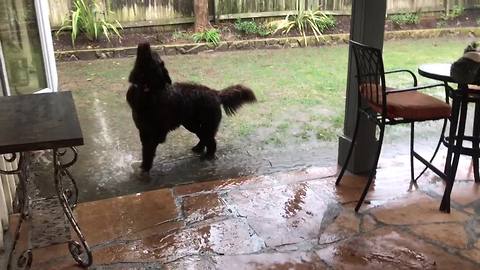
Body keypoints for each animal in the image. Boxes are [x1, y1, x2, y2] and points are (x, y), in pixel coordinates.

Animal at [125, 43, 256, 172]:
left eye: (153, 57)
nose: (145, 43)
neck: (147, 89)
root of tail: (216, 93)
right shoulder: (144, 132)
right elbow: (145, 152)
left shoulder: (152, 133)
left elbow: (148, 153)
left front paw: (145, 169)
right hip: (192, 124)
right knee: (205, 139)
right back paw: (198, 149)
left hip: (203, 125)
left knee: (211, 142)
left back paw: (208, 156)